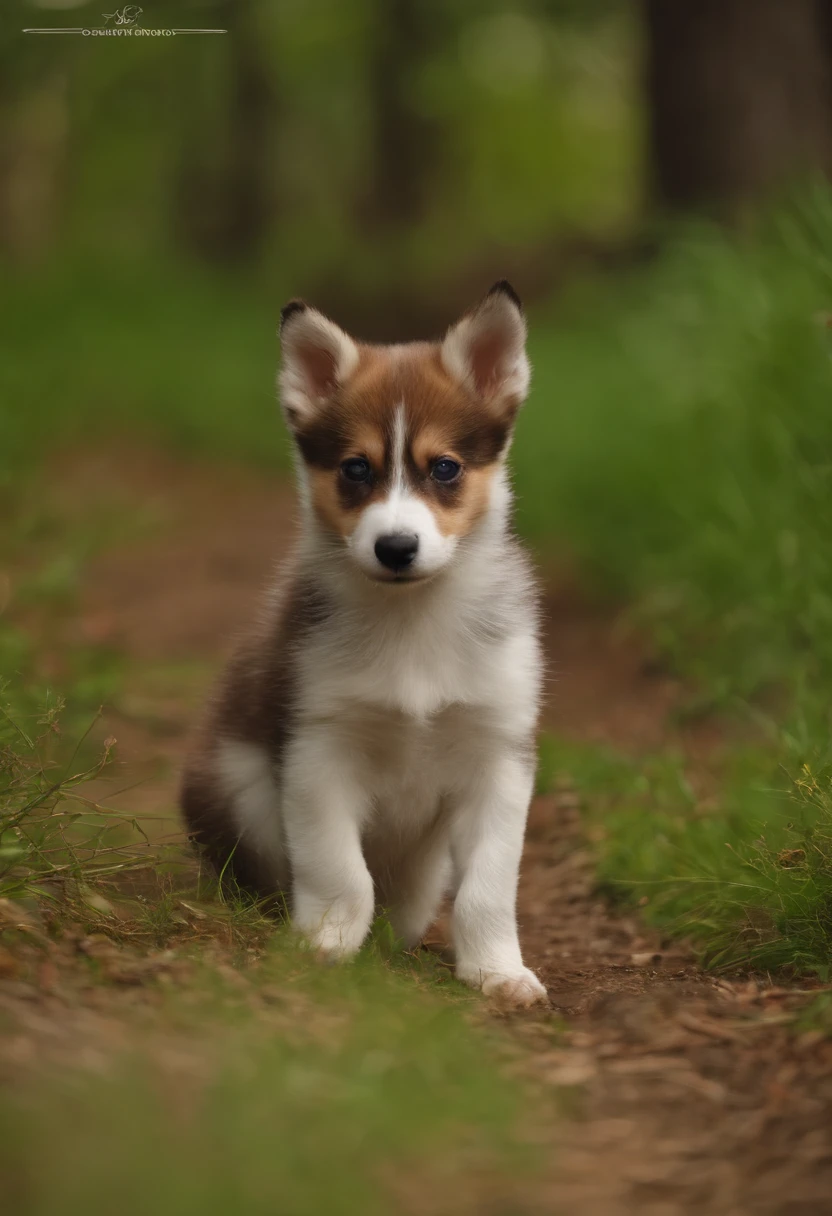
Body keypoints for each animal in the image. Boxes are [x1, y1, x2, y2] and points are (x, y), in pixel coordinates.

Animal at [182, 284, 544, 1006]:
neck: (412, 622)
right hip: (235, 781)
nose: (396, 547)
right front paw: (324, 944)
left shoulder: (500, 755)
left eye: (444, 469)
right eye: (356, 469)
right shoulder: (318, 746)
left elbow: (489, 888)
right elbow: (340, 870)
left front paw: (498, 971)